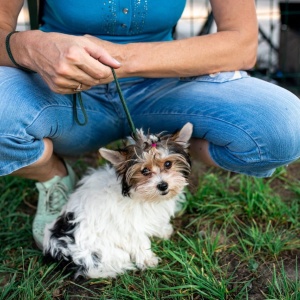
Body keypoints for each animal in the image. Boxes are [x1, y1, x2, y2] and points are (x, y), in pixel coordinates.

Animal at [44, 122, 195, 278]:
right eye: (144, 171)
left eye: (168, 164)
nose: (163, 185)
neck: (142, 196)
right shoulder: (128, 225)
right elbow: (140, 240)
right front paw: (147, 259)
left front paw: (163, 230)